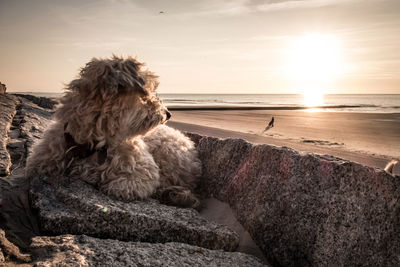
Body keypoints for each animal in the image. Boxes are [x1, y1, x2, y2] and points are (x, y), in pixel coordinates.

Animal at [25, 56, 202, 209]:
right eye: (146, 95)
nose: (168, 114)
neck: (94, 143)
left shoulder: (143, 173)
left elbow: (121, 187)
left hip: (169, 153)